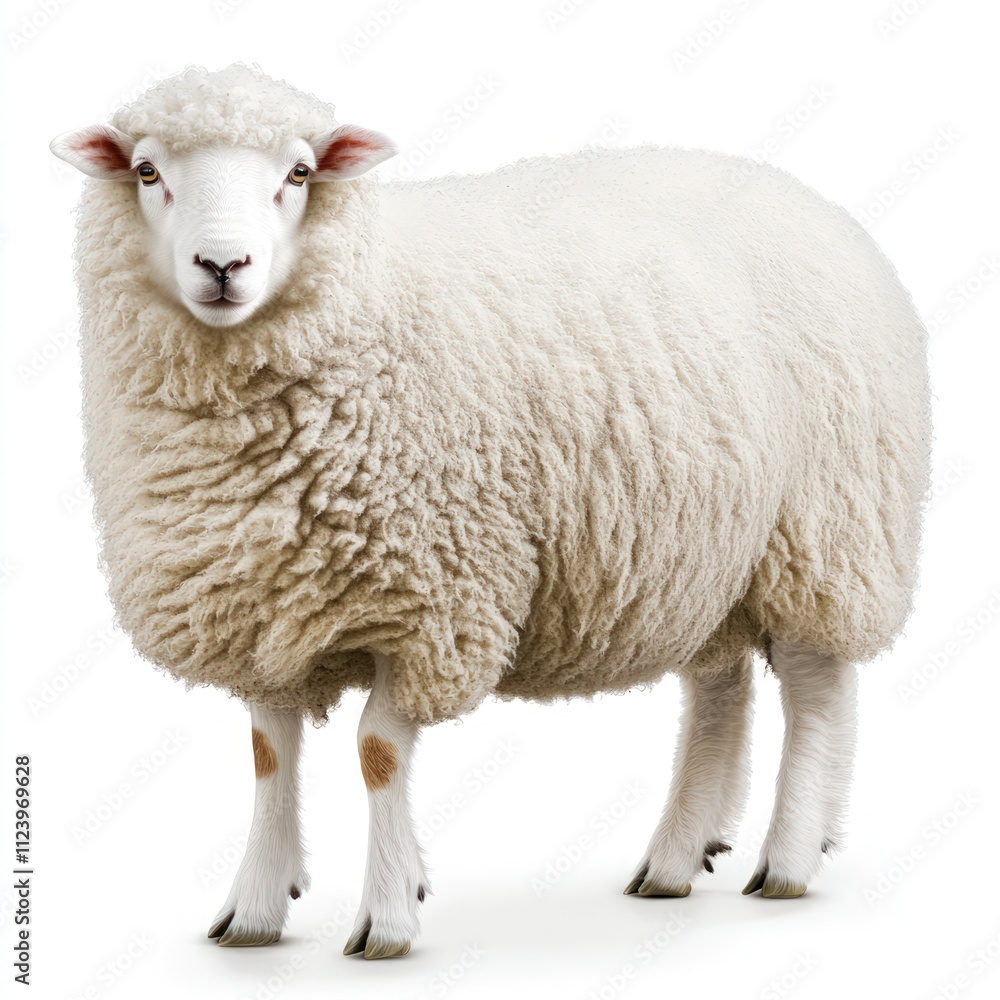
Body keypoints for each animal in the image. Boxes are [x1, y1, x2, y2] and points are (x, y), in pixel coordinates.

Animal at [50, 64, 931, 958]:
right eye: (147, 171)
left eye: (298, 173)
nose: (222, 263)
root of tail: (807, 199)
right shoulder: (264, 602)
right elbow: (269, 753)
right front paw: (258, 909)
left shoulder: (430, 602)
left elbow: (377, 753)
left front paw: (387, 916)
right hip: (701, 551)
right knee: (719, 688)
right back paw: (677, 857)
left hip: (826, 531)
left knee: (816, 690)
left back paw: (789, 856)